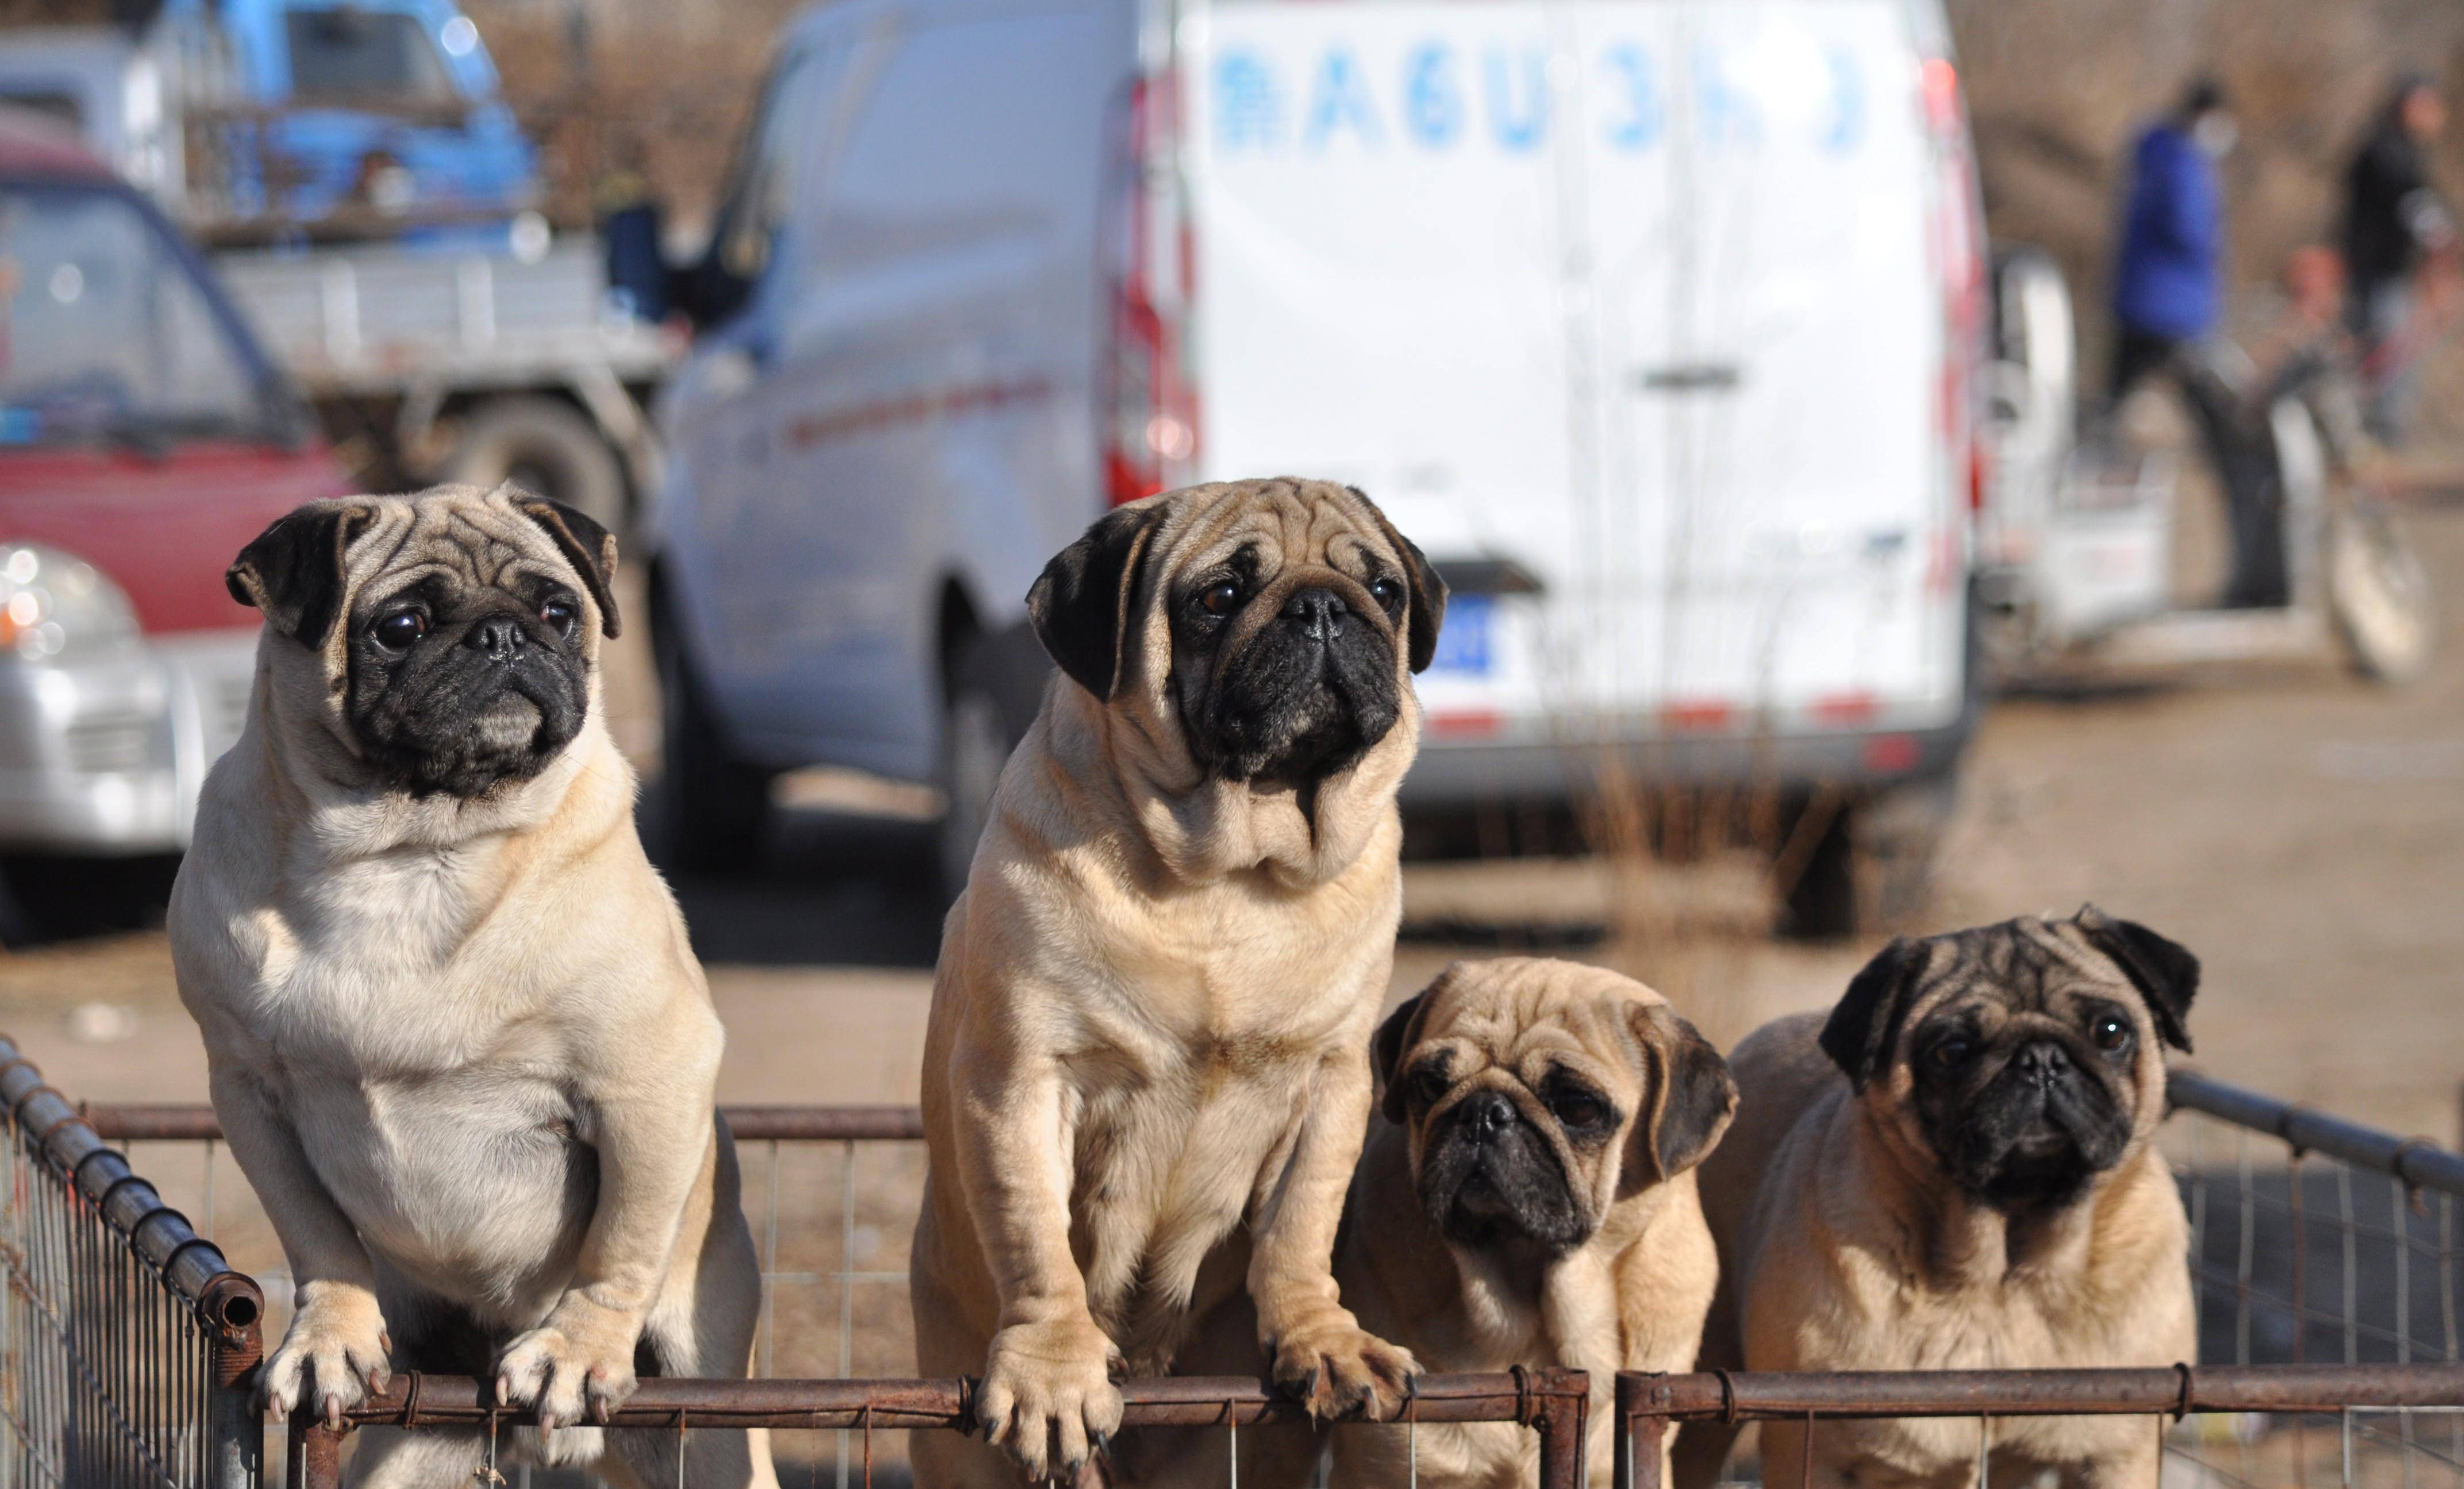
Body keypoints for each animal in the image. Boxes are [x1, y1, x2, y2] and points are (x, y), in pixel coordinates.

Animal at [171, 488, 768, 1489]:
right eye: (400, 627)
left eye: (560, 611)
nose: (502, 635)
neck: (414, 849)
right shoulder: (246, 1088)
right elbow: (317, 1234)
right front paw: (328, 1336)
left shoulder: (649, 1080)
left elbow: (621, 1240)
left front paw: (576, 1348)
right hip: (418, 1449)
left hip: (709, 1420)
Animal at [906, 480, 1439, 1489]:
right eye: (1218, 597)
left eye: (1385, 590)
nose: (1322, 607)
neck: (1230, 875)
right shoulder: (1021, 1082)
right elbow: (1036, 1239)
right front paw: (1053, 1371)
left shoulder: (1332, 1082)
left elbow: (1301, 1223)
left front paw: (1322, 1335)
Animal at [1675, 907, 2197, 1489]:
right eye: (1952, 1051)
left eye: (2111, 1032)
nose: (2040, 1059)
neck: (2002, 1277)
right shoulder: (1810, 1451)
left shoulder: (2118, 1453)